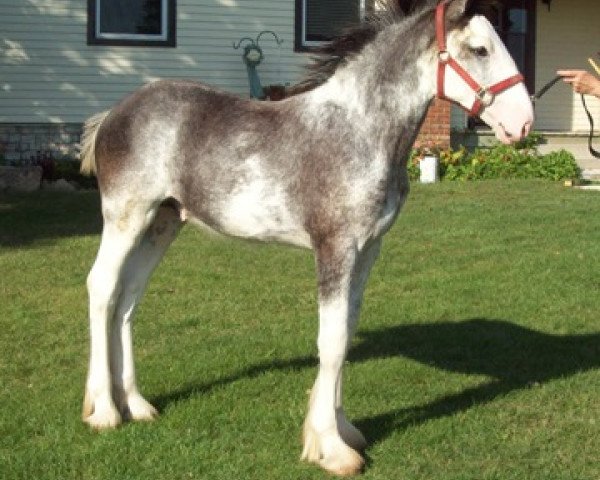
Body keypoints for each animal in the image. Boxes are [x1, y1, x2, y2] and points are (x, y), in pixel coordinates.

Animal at [81, 0, 536, 472]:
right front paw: (332, 449)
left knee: (128, 299)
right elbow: (331, 341)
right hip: (126, 218)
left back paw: (136, 404)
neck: (358, 130)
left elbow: (346, 333)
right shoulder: (335, 248)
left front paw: (344, 431)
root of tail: (113, 115)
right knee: (103, 288)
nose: (523, 123)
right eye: (480, 49)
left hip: (162, 224)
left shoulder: (367, 250)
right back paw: (105, 411)